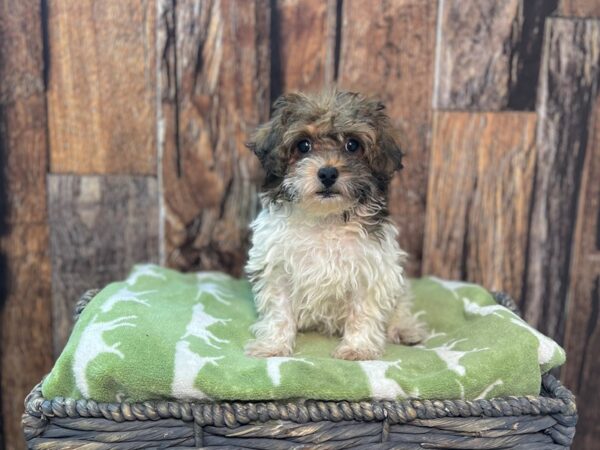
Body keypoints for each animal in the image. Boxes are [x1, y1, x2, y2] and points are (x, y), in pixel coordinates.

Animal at [244, 91, 426, 362]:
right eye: (303, 145)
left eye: (352, 145)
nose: (328, 173)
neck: (325, 219)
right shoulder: (276, 268)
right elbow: (279, 311)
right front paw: (273, 345)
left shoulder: (371, 268)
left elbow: (363, 312)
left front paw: (358, 348)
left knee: (400, 305)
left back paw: (405, 329)